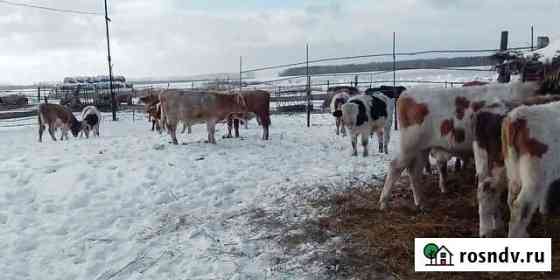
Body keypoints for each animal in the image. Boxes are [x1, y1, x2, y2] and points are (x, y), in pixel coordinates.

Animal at [378, 81, 540, 210]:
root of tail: (407, 94)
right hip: (409, 145)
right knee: (395, 167)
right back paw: (384, 202)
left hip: (422, 148)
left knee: (414, 171)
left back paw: (421, 202)